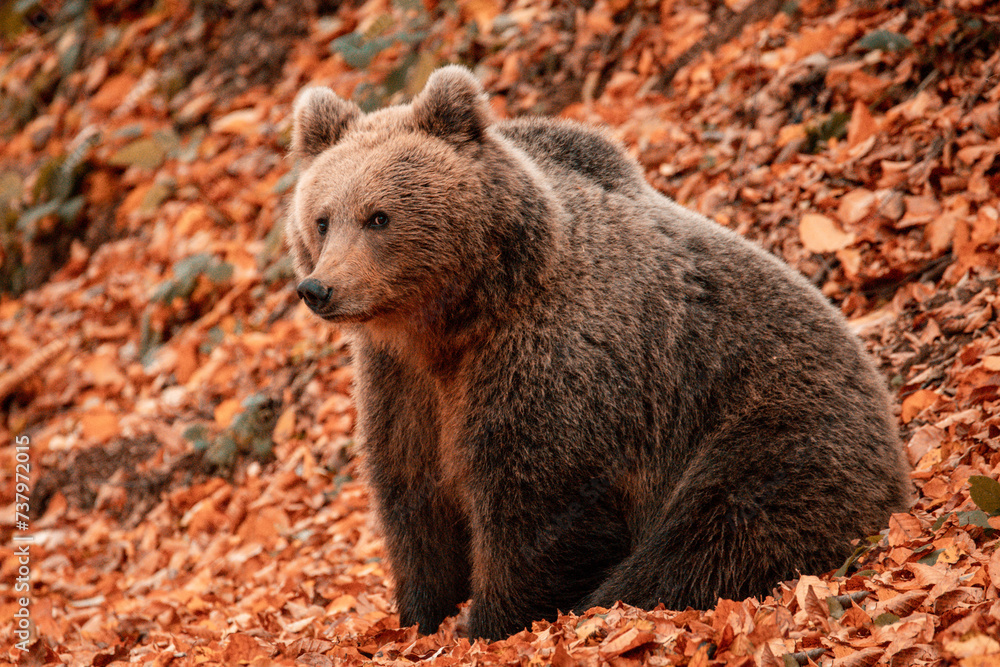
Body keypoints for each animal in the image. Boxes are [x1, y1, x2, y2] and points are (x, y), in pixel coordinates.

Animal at [286, 65, 912, 642]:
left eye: (379, 216)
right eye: (322, 219)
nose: (319, 289)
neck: (452, 321)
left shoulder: (554, 359)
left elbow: (538, 503)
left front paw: (487, 622)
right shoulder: (401, 383)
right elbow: (414, 493)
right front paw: (421, 616)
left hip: (772, 422)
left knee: (718, 531)